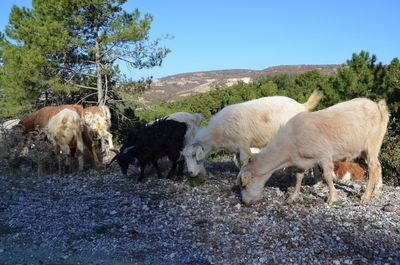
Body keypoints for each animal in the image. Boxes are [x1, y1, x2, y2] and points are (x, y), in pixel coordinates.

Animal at [184, 90, 322, 175]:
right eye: (185, 157)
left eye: (194, 155)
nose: (190, 173)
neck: (219, 131)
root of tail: (302, 105)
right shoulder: (236, 148)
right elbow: (237, 162)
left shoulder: (243, 145)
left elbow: (244, 162)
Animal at [239, 98, 390, 205]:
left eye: (245, 185)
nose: (245, 202)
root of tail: (378, 106)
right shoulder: (302, 160)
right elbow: (298, 177)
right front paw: (293, 196)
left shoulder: (324, 155)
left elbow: (328, 176)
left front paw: (332, 198)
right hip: (367, 149)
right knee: (378, 166)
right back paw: (376, 192)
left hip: (372, 144)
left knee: (372, 168)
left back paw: (366, 196)